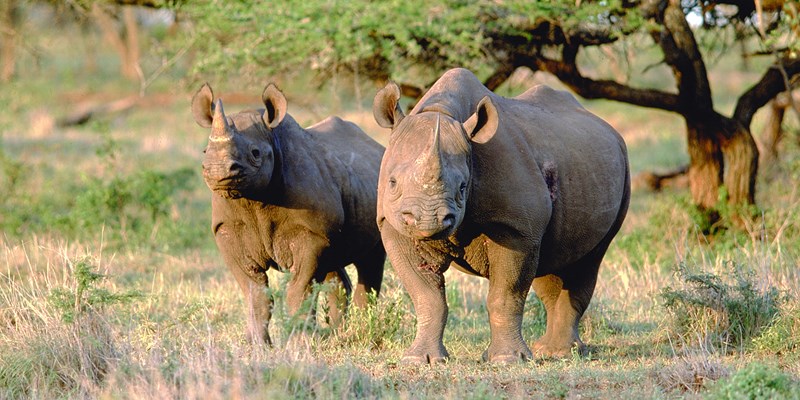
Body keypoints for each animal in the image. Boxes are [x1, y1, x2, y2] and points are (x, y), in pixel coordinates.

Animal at [192, 83, 386, 345]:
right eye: (205, 151)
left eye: (255, 153)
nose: (217, 170)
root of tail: (377, 145)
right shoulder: (227, 229)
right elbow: (255, 293)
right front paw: (257, 346)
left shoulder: (310, 233)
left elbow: (299, 291)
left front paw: (300, 343)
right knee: (334, 264)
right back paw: (337, 333)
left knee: (371, 260)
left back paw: (360, 332)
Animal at [372, 68, 630, 363]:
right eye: (392, 183)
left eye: (463, 187)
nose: (429, 221)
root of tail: (611, 130)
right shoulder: (392, 225)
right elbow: (427, 297)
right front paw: (420, 360)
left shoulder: (516, 227)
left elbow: (505, 294)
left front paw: (507, 359)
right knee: (553, 265)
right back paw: (548, 350)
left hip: (620, 169)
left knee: (588, 260)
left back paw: (561, 353)